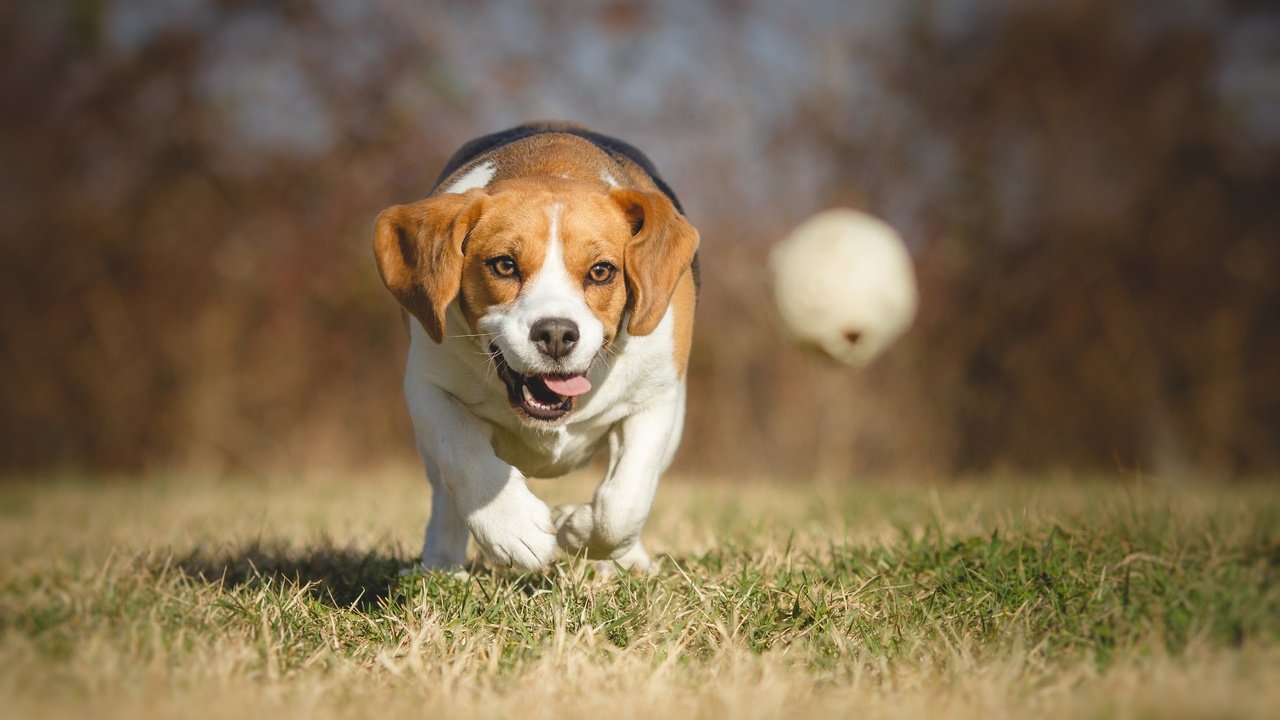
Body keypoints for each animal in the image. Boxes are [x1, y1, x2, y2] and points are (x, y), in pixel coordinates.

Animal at [373, 122, 701, 571]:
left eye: (602, 271)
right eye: (504, 265)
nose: (557, 334)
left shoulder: (655, 401)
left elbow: (624, 503)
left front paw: (578, 530)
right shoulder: (428, 389)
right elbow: (462, 452)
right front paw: (512, 528)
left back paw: (626, 561)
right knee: (445, 495)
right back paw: (441, 564)